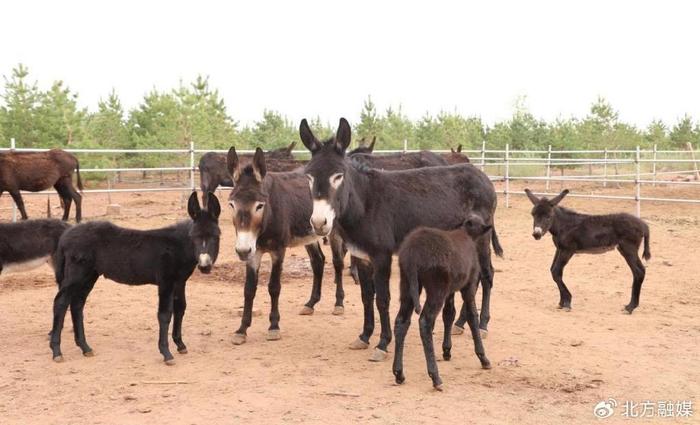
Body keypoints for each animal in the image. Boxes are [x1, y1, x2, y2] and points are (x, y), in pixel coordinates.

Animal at [394, 215, 492, 390]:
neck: (466, 234)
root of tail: (412, 254)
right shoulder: (469, 285)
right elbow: (472, 316)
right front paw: (483, 357)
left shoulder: (451, 290)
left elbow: (449, 314)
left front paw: (447, 351)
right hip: (436, 288)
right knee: (425, 322)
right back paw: (435, 376)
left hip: (407, 285)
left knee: (401, 321)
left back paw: (399, 373)